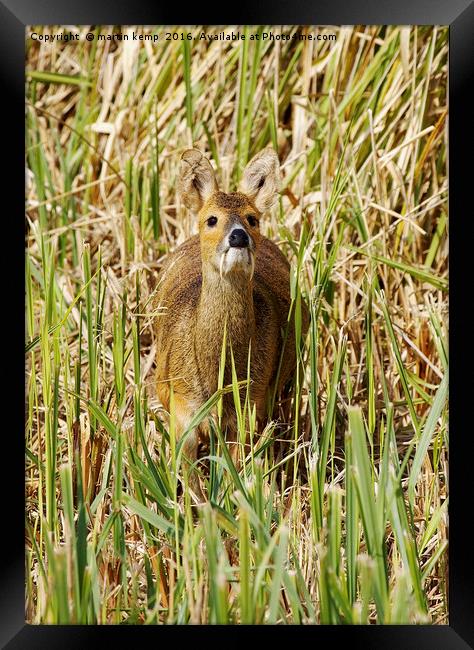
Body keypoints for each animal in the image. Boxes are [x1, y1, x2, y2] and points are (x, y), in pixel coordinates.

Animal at [155, 148, 312, 502]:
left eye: (252, 218)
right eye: (211, 219)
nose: (238, 236)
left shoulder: (249, 407)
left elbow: (233, 475)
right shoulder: (182, 408)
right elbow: (191, 480)